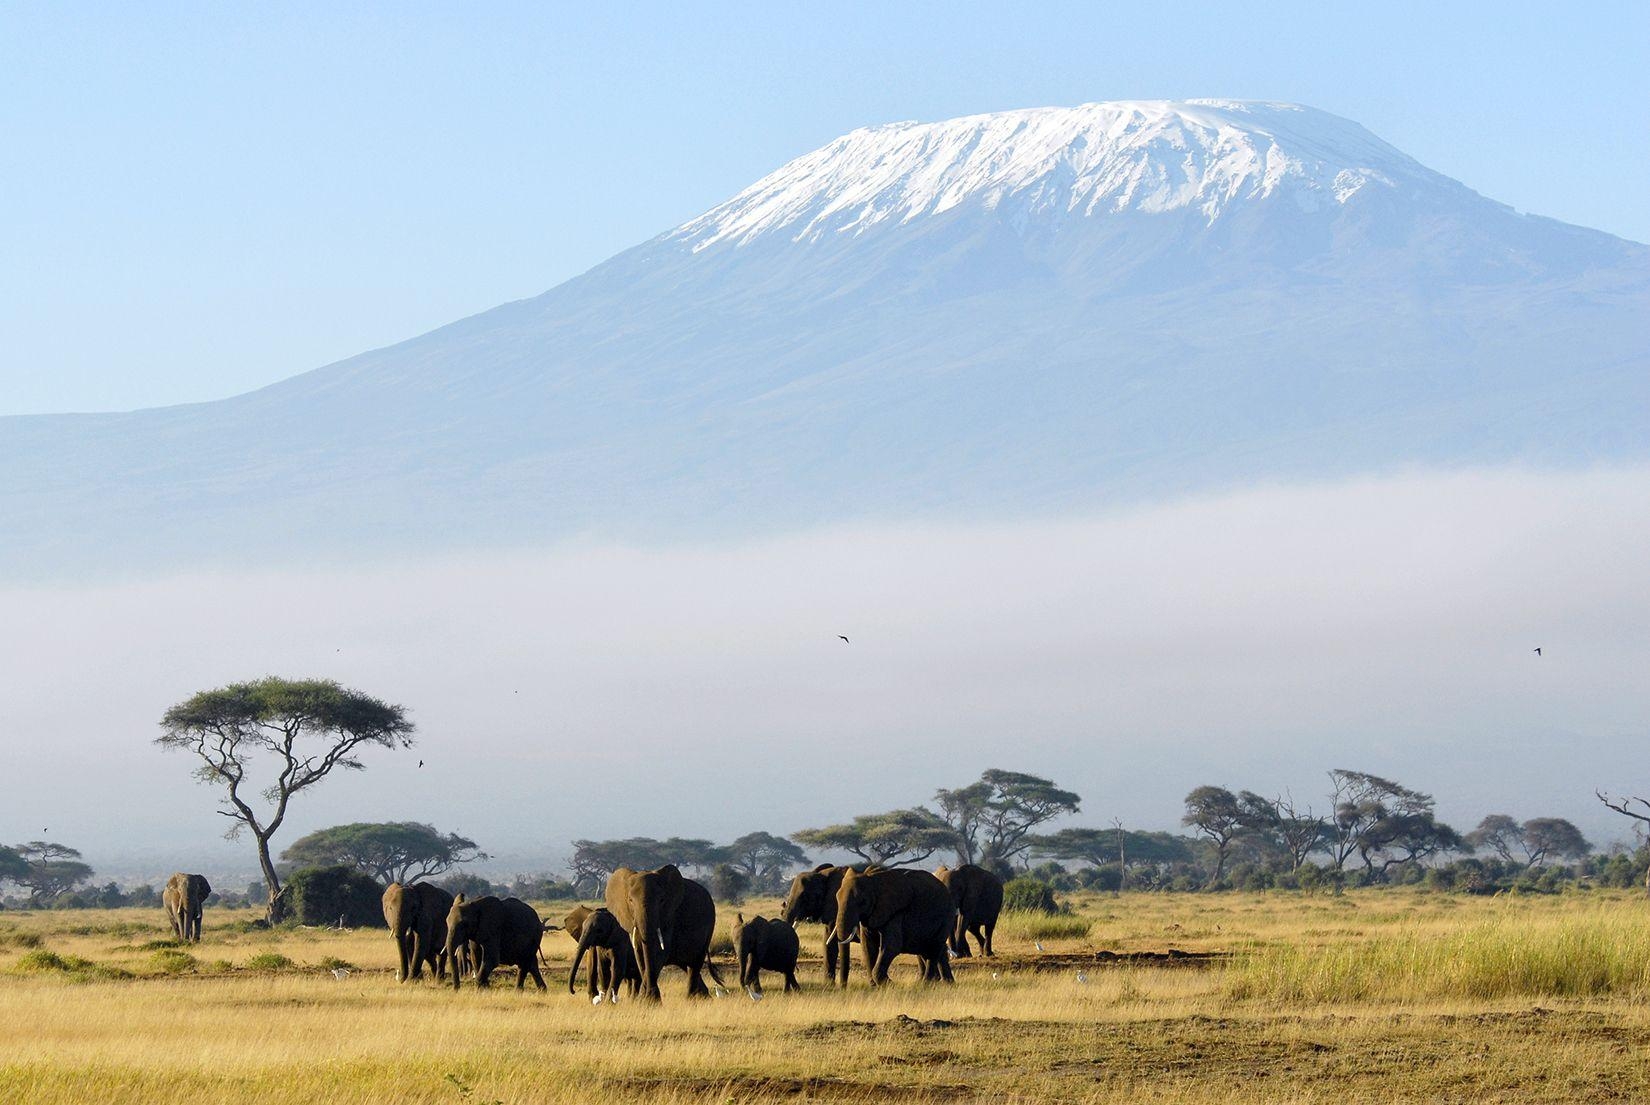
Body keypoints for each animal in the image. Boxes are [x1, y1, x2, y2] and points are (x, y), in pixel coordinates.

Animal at [597, 864, 719, 1002]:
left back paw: (691, 999)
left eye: (661, 900)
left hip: (710, 924)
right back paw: (704, 996)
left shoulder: (669, 916)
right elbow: (639, 952)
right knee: (687, 965)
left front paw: (650, 1000)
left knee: (695, 964)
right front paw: (645, 999)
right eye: (630, 900)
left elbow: (660, 953)